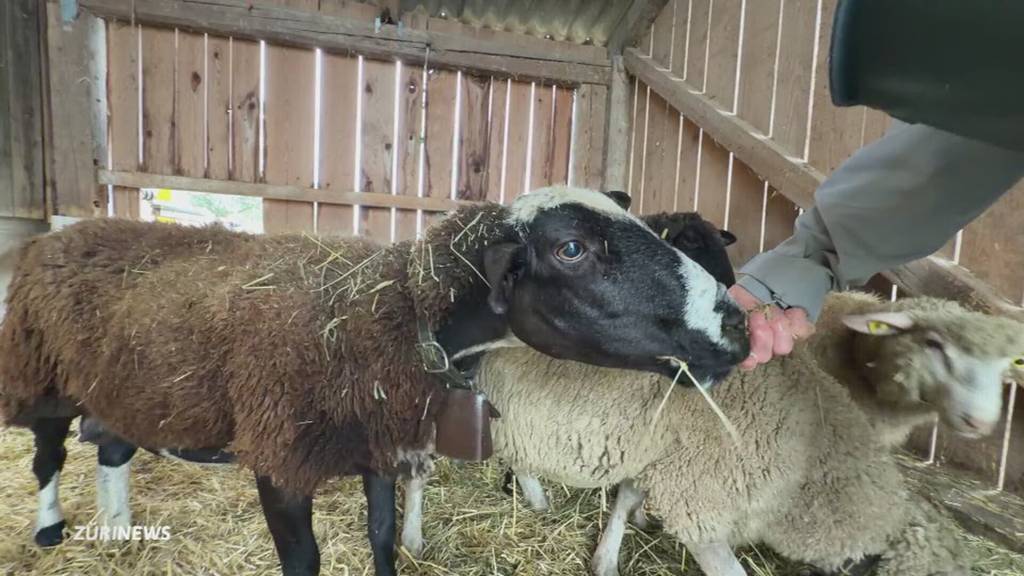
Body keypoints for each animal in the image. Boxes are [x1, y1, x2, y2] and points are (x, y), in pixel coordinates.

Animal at [0, 186, 751, 576]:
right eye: (571, 249)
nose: (739, 325)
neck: (397, 309)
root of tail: (57, 234)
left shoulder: (382, 445)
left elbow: (384, 534)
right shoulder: (281, 462)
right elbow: (306, 562)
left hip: (129, 384)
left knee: (112, 448)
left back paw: (120, 528)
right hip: (42, 378)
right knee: (49, 457)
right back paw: (50, 529)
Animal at [403, 290, 1024, 576]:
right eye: (935, 345)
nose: (980, 423)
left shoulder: (671, 462)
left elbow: (626, 497)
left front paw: (605, 557)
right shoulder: (704, 503)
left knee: (516, 450)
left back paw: (535, 498)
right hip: (432, 397)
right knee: (416, 469)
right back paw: (410, 539)